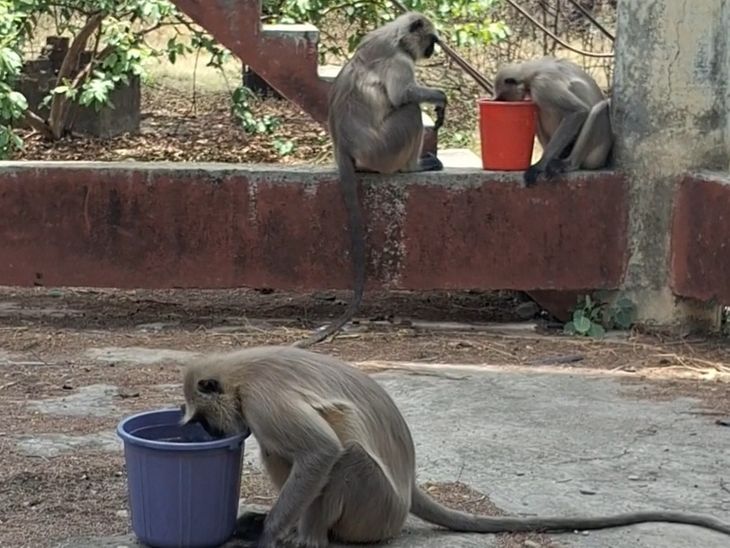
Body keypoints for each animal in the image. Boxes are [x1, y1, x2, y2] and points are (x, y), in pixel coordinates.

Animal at [180, 345, 730, 548]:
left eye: (204, 419)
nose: (211, 434)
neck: (240, 373)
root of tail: (407, 488)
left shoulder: (264, 400)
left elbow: (320, 451)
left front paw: (268, 535)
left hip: (377, 509)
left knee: (344, 455)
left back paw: (309, 538)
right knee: (281, 451)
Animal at [292, 12, 448, 348]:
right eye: (431, 40)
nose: (432, 51)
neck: (395, 37)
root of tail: (344, 146)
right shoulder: (401, 60)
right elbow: (403, 96)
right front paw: (440, 98)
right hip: (384, 149)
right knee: (409, 109)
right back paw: (414, 167)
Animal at [493, 56, 613, 187]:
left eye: (503, 98)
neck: (532, 71)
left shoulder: (542, 85)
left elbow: (577, 111)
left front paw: (539, 166)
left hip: (597, 154)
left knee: (598, 108)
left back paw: (568, 164)